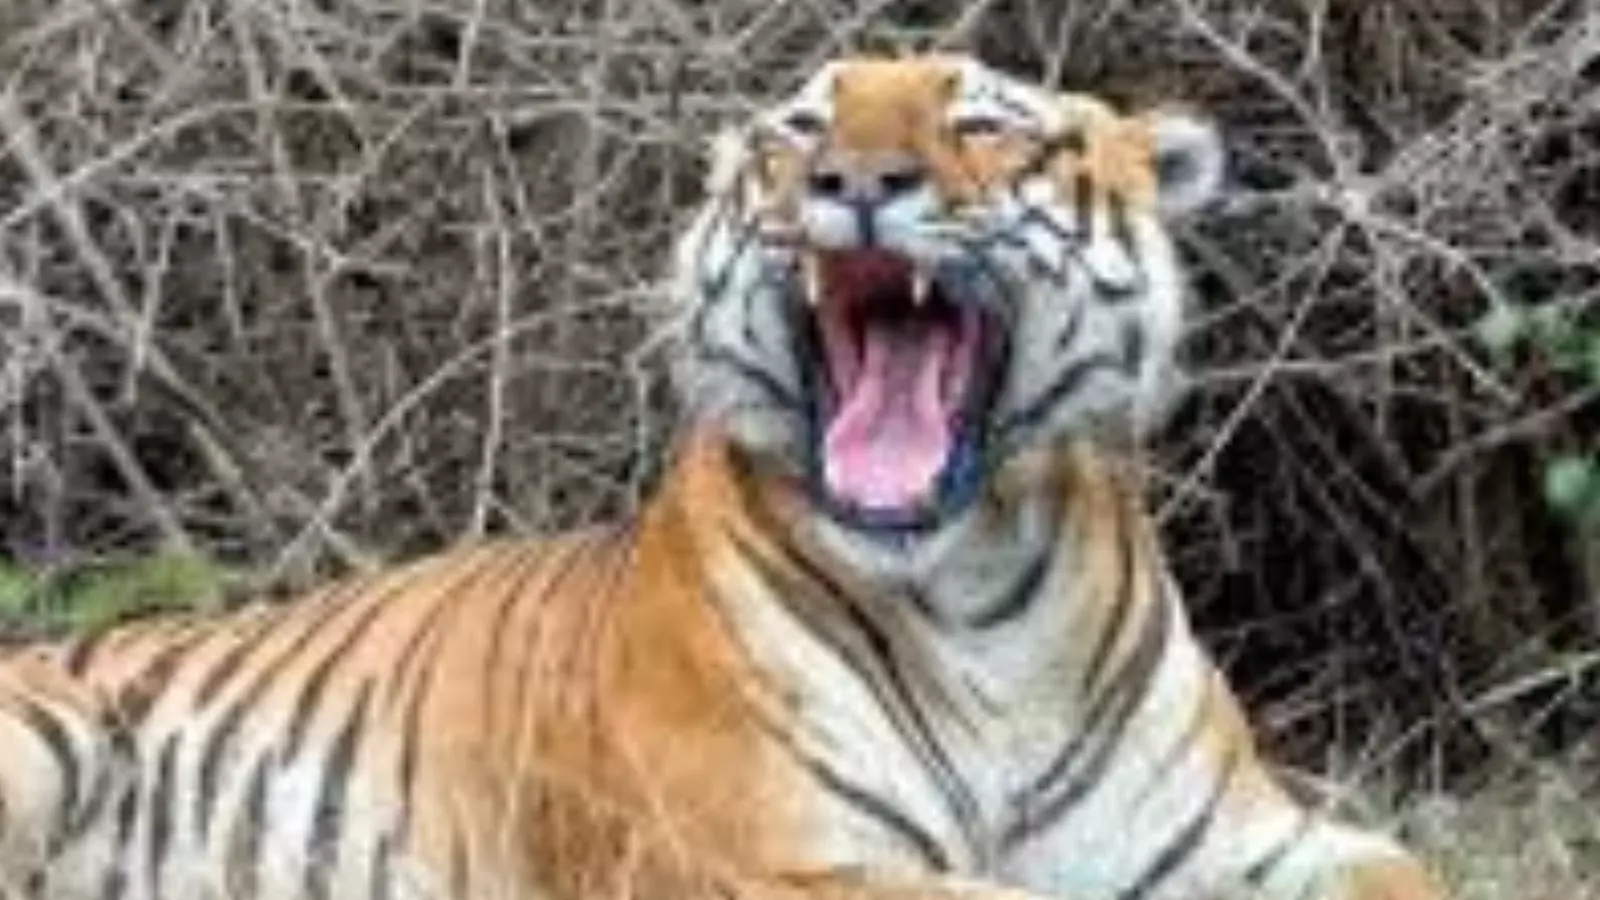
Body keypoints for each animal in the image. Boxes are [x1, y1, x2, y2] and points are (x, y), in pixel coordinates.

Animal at [0, 56, 1446, 900]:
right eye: (801, 127)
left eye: (980, 122)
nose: (851, 179)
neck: (980, 592)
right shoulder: (778, 858)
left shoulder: (1256, 838)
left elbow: (1409, 873)